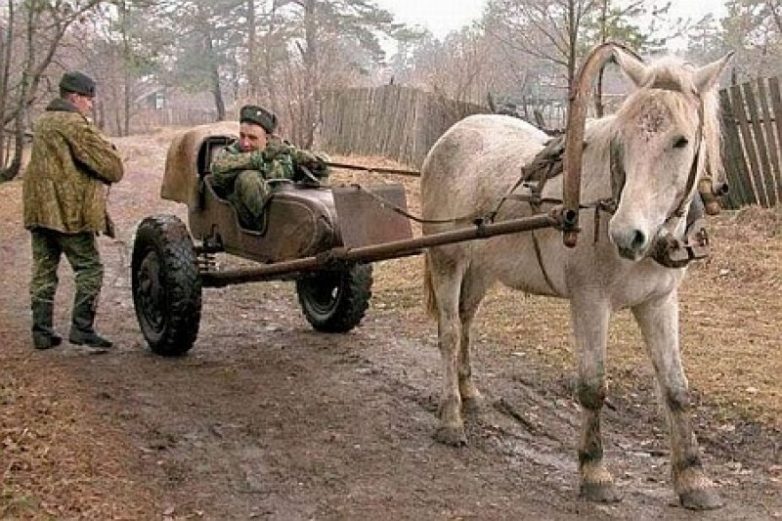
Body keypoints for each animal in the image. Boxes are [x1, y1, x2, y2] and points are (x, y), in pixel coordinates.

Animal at [420, 48, 733, 510]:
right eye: (623, 138)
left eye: (681, 141)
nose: (627, 234)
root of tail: (451, 135)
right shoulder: (590, 301)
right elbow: (592, 386)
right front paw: (594, 470)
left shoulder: (658, 303)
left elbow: (675, 388)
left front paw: (694, 479)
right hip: (447, 258)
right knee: (449, 333)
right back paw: (450, 418)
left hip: (481, 268)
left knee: (466, 321)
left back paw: (469, 394)